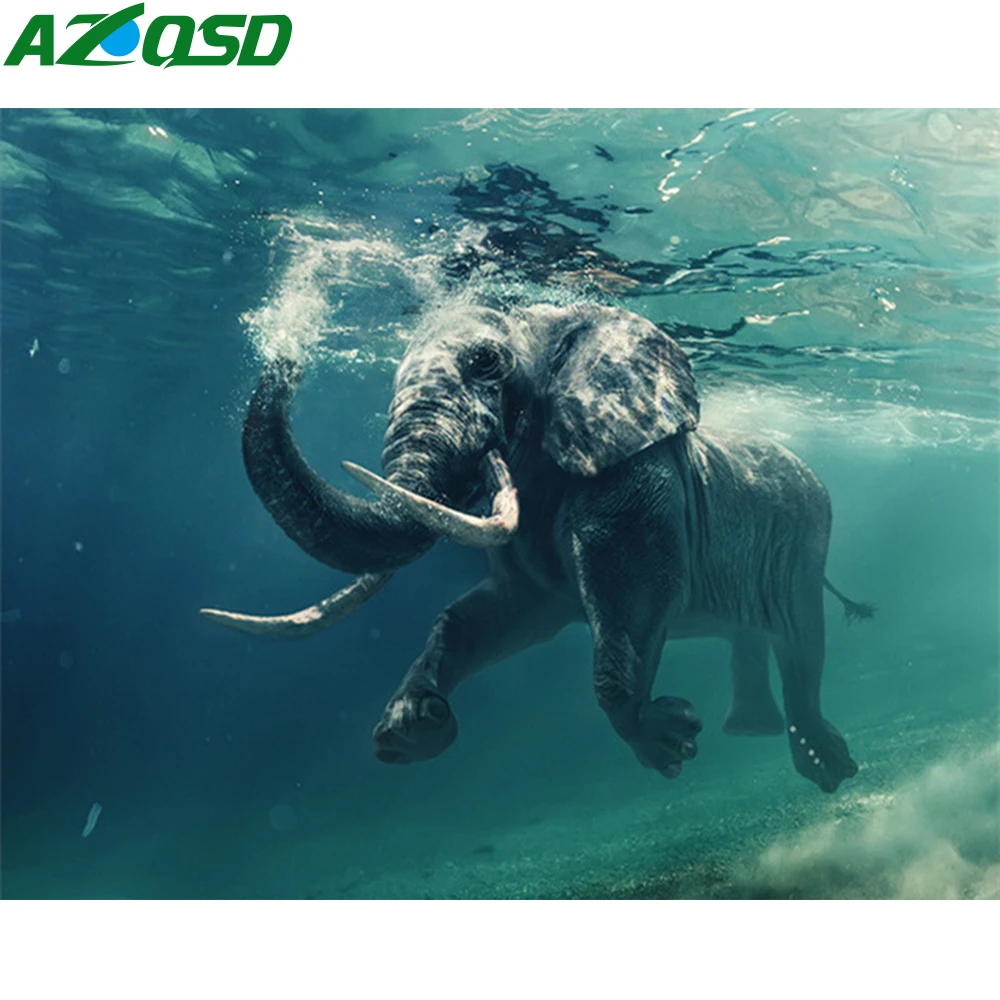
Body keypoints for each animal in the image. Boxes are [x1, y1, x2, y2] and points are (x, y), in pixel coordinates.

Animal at [202, 303, 874, 793]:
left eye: (485, 362)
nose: (287, 357)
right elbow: (488, 616)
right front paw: (411, 728)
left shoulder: (634, 480)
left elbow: (634, 598)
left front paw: (669, 741)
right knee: (753, 635)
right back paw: (753, 734)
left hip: (807, 536)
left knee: (802, 640)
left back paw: (827, 768)